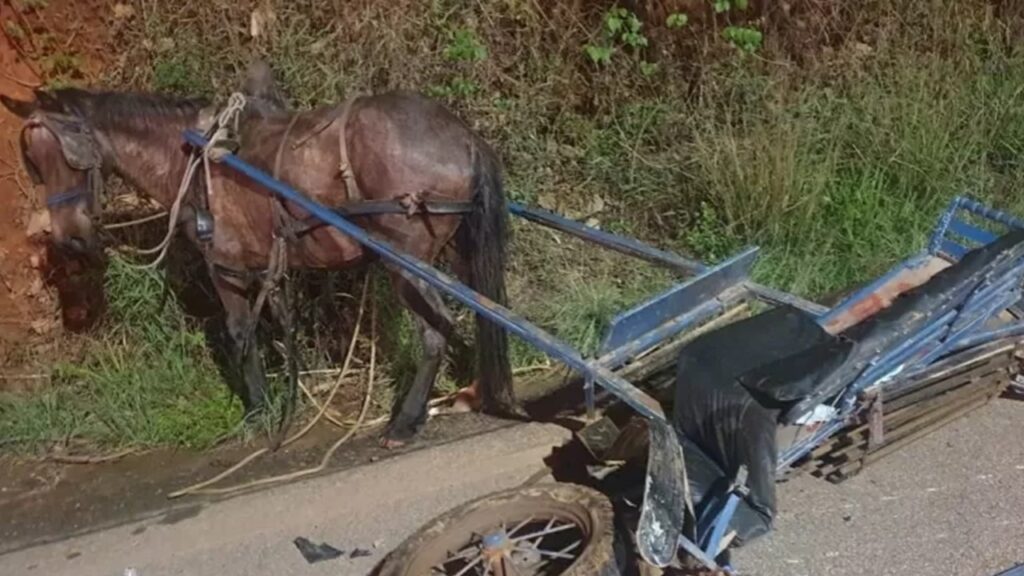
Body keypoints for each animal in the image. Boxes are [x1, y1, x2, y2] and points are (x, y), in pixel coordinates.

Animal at [4, 63, 520, 444]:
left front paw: (258, 410)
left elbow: (239, 333)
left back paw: (405, 421)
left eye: (66, 155)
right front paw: (286, 395)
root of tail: (461, 136)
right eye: (34, 163)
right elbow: (272, 325)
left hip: (406, 259)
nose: (69, 239)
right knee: (482, 311)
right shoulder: (268, 265)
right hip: (451, 250)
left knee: (435, 331)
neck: (192, 156)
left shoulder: (225, 265)